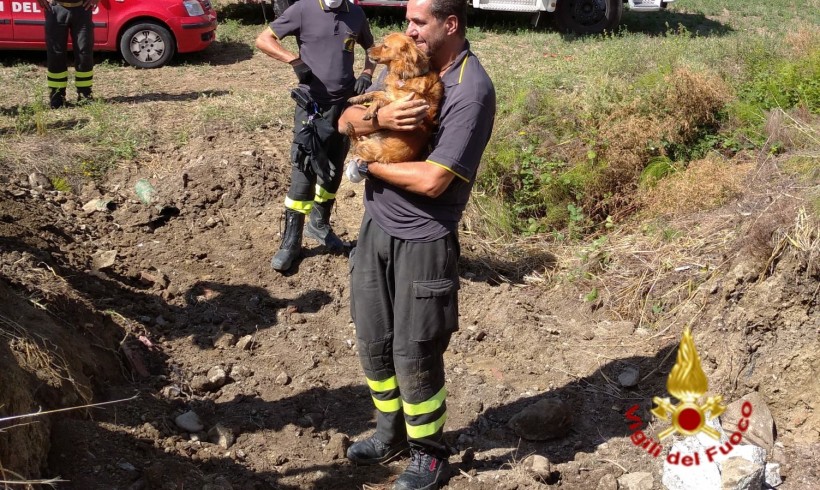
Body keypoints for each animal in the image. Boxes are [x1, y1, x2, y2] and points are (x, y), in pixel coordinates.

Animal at [255, 0, 376, 272]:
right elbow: (266, 38)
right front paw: (302, 68)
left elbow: (370, 45)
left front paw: (364, 79)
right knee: (304, 178)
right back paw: (289, 250)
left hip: (337, 145)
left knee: (333, 174)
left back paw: (319, 228)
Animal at [350, 33, 446, 163]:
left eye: (385, 46)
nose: (368, 49)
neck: (405, 76)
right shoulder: (390, 94)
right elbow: (375, 92)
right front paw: (357, 98)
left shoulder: (405, 104)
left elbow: (379, 99)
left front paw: (370, 110)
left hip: (374, 148)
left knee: (356, 143)